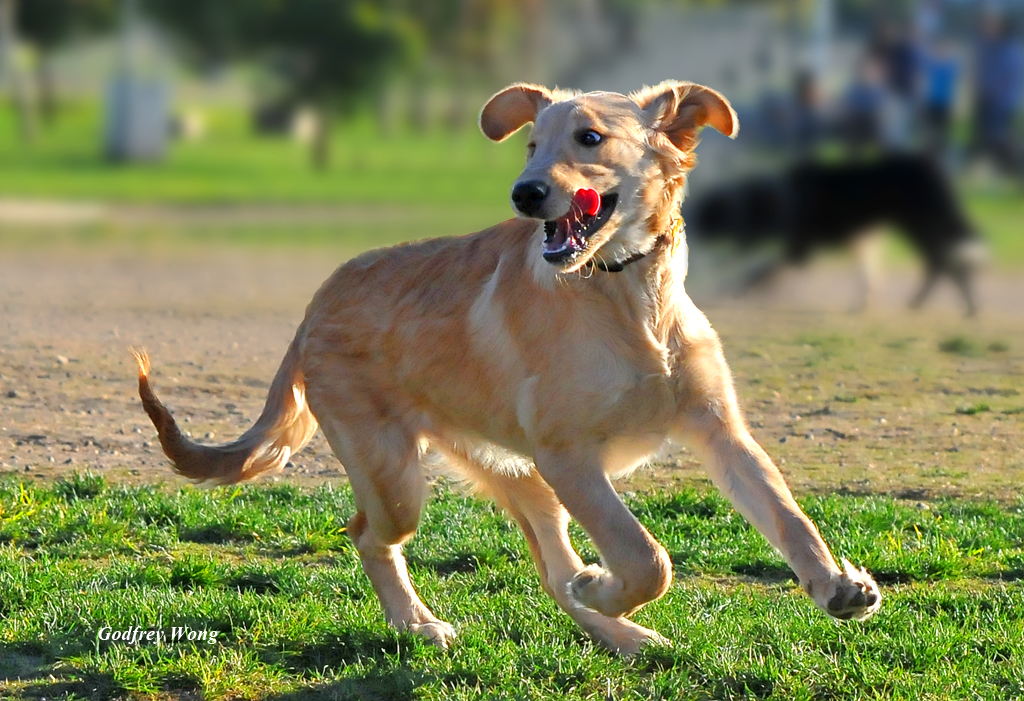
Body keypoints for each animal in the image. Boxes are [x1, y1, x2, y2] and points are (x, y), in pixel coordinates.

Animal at [136, 83, 880, 654]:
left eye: (589, 138)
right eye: (531, 146)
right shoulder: (568, 455)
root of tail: (314, 306)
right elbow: (646, 557)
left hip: (520, 476)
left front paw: (835, 585)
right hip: (401, 476)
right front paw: (611, 585)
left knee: (553, 572)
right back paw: (422, 624)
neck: (627, 300)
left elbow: (786, 514)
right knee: (369, 536)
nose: (524, 193)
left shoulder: (718, 429)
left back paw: (620, 633)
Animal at [684, 155, 987, 317]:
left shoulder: (798, 249)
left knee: (941, 259)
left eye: (705, 218)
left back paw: (939, 304)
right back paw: (957, 306)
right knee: (944, 260)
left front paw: (732, 290)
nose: (691, 234)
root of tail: (929, 163)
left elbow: (755, 271)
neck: (775, 199)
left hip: (919, 222)